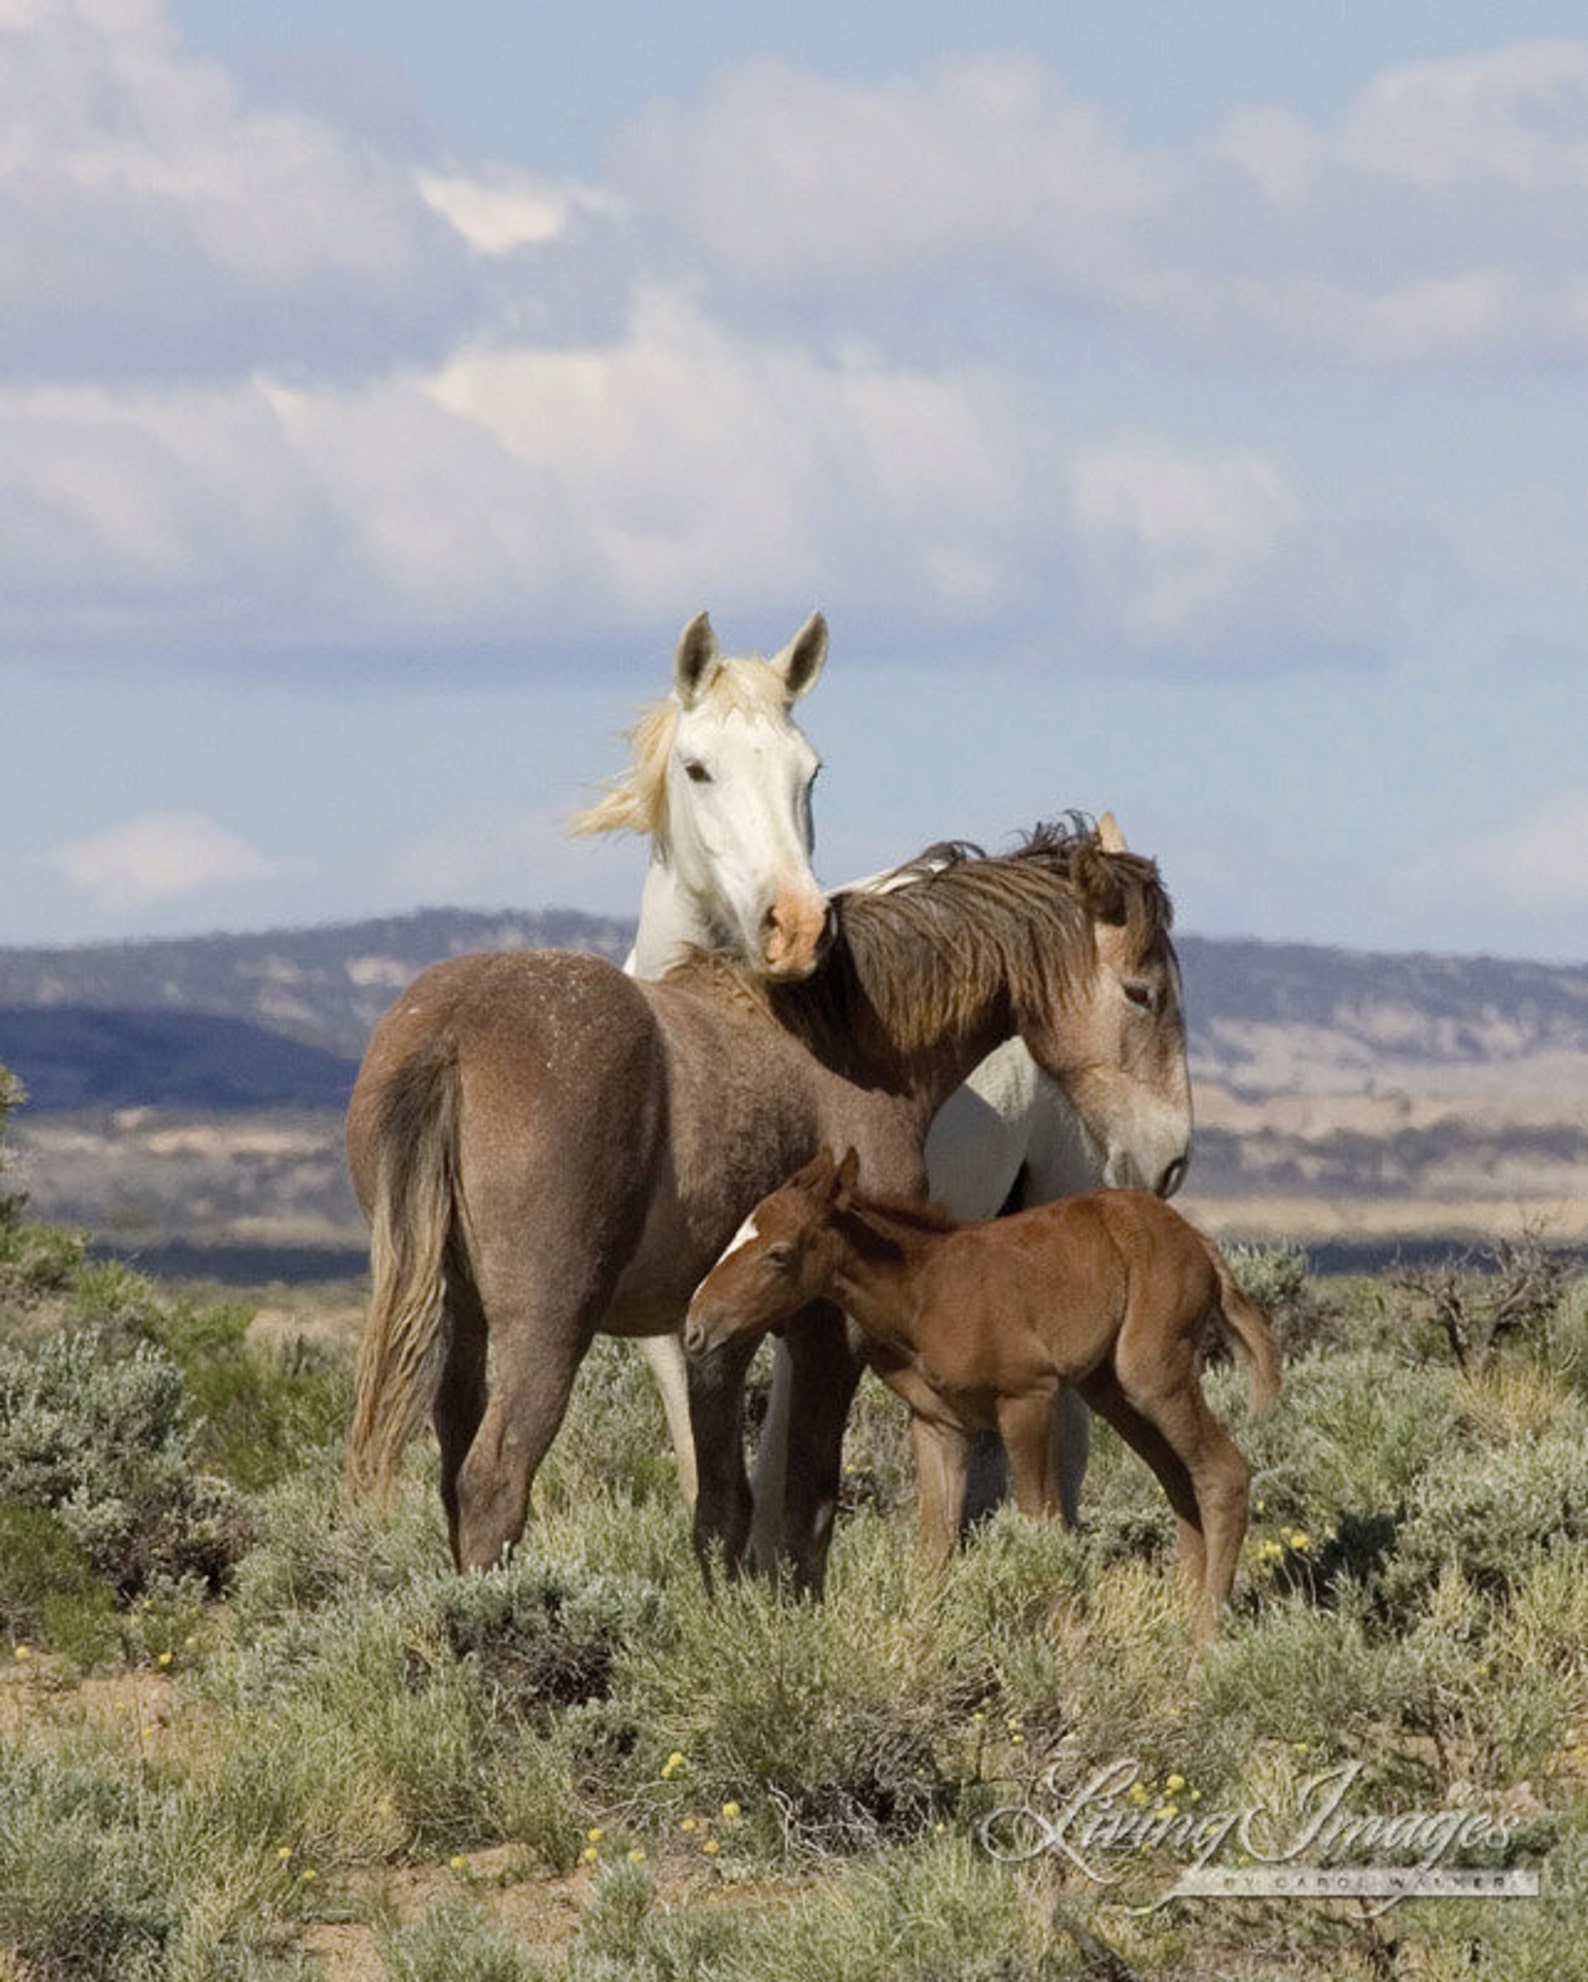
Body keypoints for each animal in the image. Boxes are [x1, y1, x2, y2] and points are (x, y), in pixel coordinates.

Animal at [685, 1149, 1284, 1641]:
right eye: (736, 1237)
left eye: (779, 1254)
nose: (695, 1330)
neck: (924, 1292)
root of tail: (1200, 1243)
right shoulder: (937, 1423)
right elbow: (934, 1545)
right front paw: (923, 1648)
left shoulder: (1028, 1398)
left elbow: (1042, 1524)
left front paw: (1068, 1649)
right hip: (1111, 1390)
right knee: (1179, 1479)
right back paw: (1182, 1616)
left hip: (1152, 1373)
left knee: (1223, 1472)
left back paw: (1204, 1641)